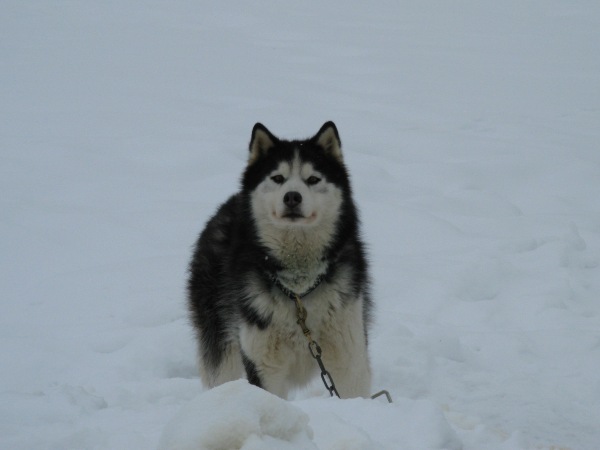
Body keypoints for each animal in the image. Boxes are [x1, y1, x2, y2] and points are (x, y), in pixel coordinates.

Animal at [190, 121, 372, 400]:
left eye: (313, 179)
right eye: (277, 178)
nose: (292, 197)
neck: (299, 290)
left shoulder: (348, 354)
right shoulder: (263, 363)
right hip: (221, 340)